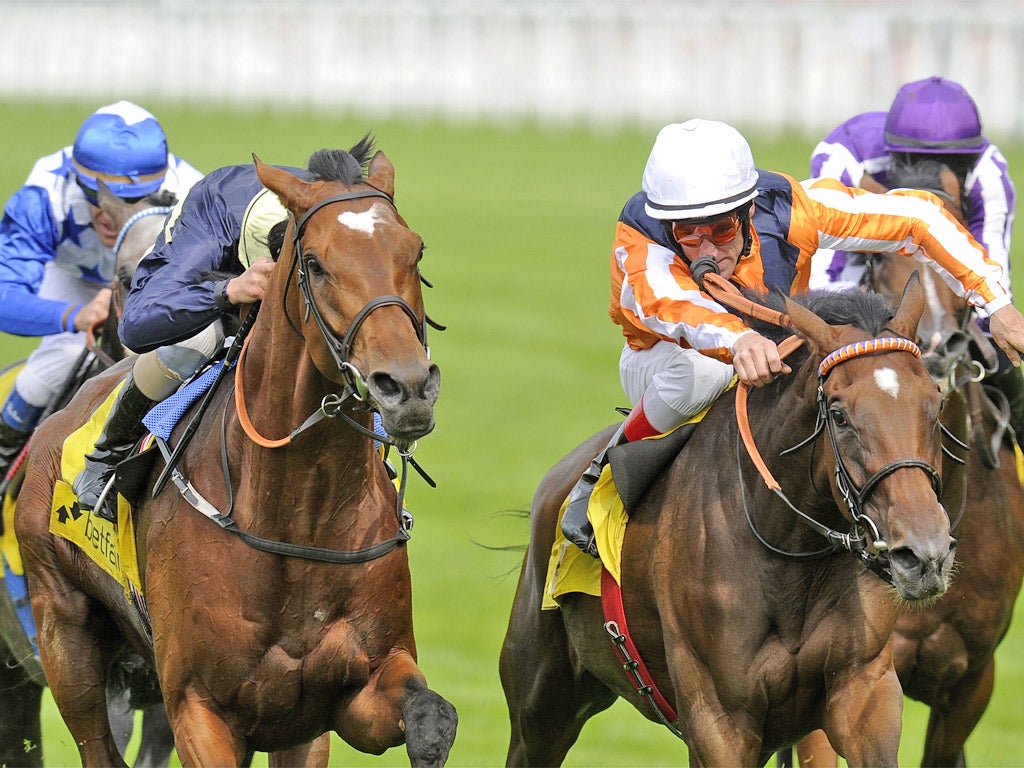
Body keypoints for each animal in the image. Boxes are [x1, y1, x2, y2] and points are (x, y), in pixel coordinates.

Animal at [14, 141, 456, 765]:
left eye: (414, 253)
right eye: (315, 263)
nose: (409, 387)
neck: (301, 511)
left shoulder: (343, 696)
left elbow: (432, 717)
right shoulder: (198, 707)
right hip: (64, 631)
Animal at [499, 280, 954, 765]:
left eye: (936, 404)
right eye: (839, 415)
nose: (925, 555)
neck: (787, 554)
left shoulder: (863, 687)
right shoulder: (718, 718)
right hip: (540, 709)